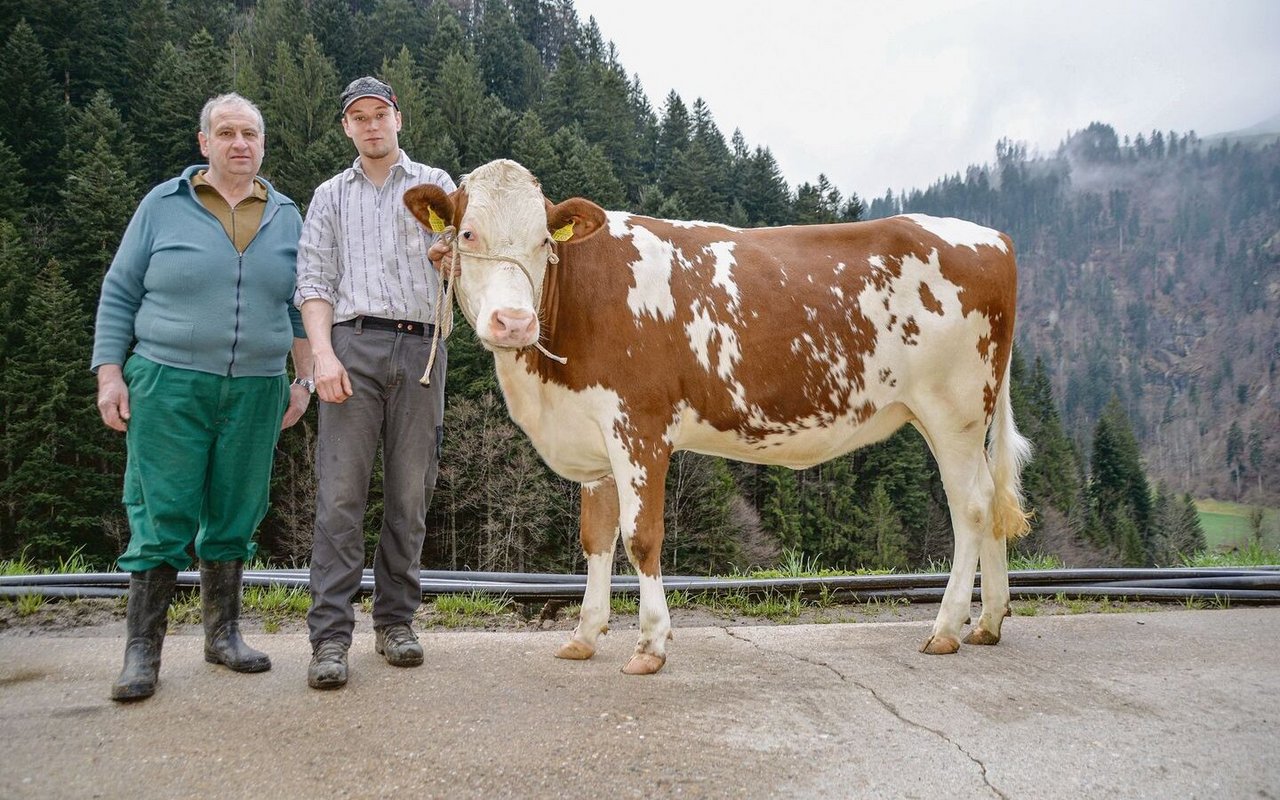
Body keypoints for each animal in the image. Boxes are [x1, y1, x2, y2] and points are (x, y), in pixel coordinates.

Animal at [404, 160, 1034, 675]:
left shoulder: (640, 426)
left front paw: (650, 644)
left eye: (543, 241)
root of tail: (991, 235)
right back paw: (987, 622)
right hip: (954, 417)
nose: (513, 322)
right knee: (991, 504)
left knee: (972, 508)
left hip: (953, 410)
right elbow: (595, 538)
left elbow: (641, 537)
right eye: (467, 233)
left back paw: (947, 628)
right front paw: (584, 635)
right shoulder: (593, 438)